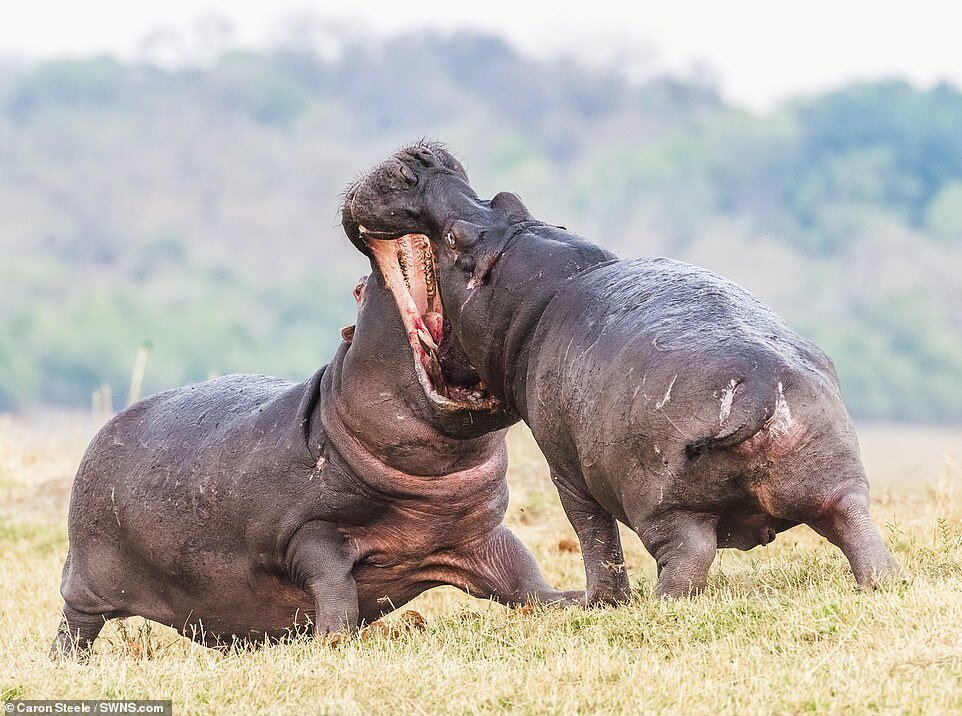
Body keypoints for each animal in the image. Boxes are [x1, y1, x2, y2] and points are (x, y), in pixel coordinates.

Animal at [54, 264, 576, 660]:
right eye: (359, 289)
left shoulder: (474, 533)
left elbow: (520, 572)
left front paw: (568, 601)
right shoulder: (309, 530)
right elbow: (334, 584)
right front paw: (333, 640)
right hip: (88, 578)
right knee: (75, 622)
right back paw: (67, 661)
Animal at [340, 143, 900, 600]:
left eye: (456, 238)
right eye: (506, 198)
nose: (418, 160)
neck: (542, 288)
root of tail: (760, 387)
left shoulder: (565, 469)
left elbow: (594, 536)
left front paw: (603, 603)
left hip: (668, 508)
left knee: (687, 557)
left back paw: (662, 604)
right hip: (835, 477)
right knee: (857, 527)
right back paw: (883, 581)